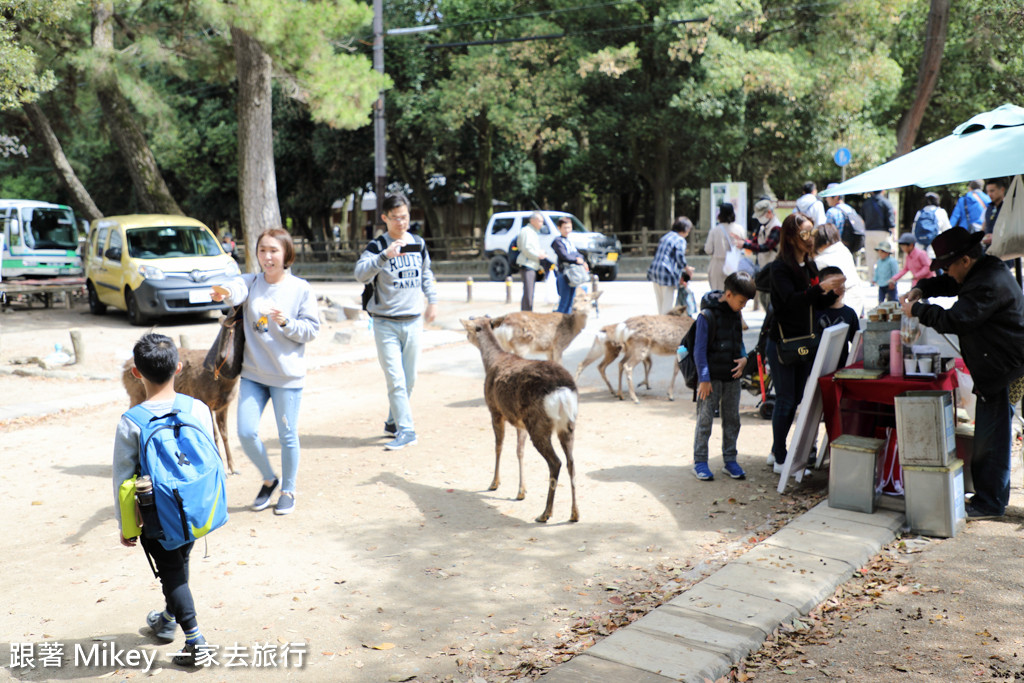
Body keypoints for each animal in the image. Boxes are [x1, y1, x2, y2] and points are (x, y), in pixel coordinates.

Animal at [462, 317, 581, 524]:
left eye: (471, 327)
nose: (465, 336)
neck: (492, 362)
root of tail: (562, 391)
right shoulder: (519, 421)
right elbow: (520, 451)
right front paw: (521, 491)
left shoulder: (494, 409)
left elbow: (499, 446)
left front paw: (494, 483)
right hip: (567, 424)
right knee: (571, 462)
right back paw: (574, 514)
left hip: (538, 423)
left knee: (555, 462)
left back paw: (544, 514)